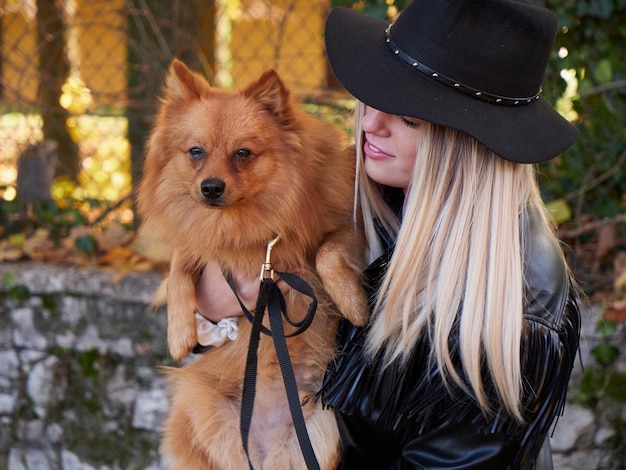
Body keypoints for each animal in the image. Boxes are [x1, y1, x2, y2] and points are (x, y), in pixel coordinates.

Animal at [136, 59, 368, 470]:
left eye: (242, 153)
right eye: (196, 151)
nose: (211, 187)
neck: (249, 226)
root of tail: (262, 448)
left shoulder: (346, 224)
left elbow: (326, 254)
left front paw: (354, 305)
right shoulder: (200, 244)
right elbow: (178, 270)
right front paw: (178, 333)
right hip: (195, 403)